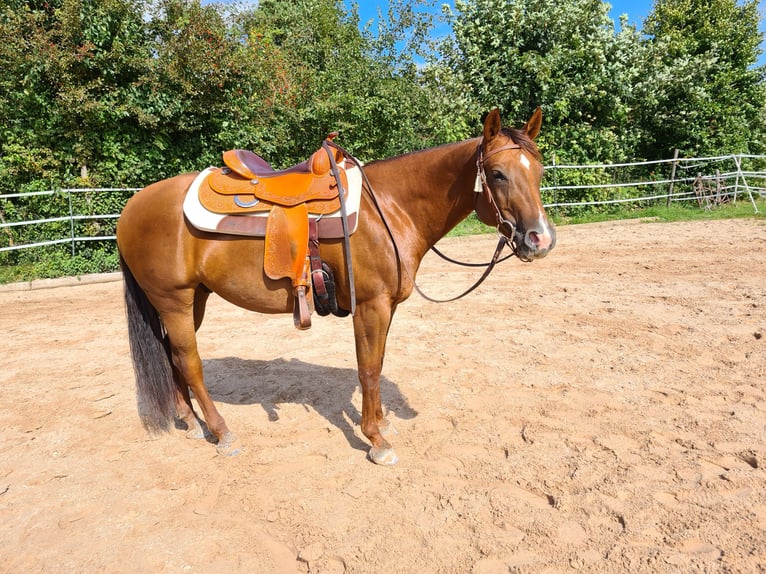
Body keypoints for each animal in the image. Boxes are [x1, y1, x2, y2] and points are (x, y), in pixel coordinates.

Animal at [116, 108, 556, 465]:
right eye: (497, 174)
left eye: (539, 173)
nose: (541, 240)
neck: (391, 207)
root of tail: (132, 206)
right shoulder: (371, 305)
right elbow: (369, 368)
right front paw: (376, 440)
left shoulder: (386, 307)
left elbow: (377, 363)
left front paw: (381, 424)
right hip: (174, 301)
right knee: (189, 361)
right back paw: (222, 433)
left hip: (194, 300)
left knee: (171, 355)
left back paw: (190, 421)